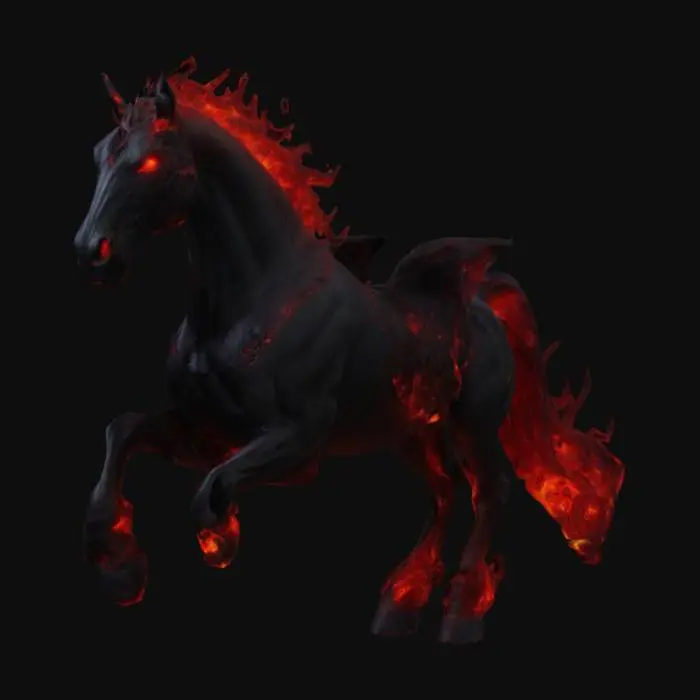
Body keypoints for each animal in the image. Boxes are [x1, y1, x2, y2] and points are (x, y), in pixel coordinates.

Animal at [73, 57, 625, 643]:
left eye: (148, 161)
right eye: (99, 154)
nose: (92, 253)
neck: (252, 299)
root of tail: (485, 308)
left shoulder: (298, 442)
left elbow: (211, 491)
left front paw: (220, 540)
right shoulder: (203, 432)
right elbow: (123, 432)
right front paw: (122, 571)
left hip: (473, 429)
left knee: (488, 491)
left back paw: (461, 613)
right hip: (412, 435)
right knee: (445, 492)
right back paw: (399, 604)